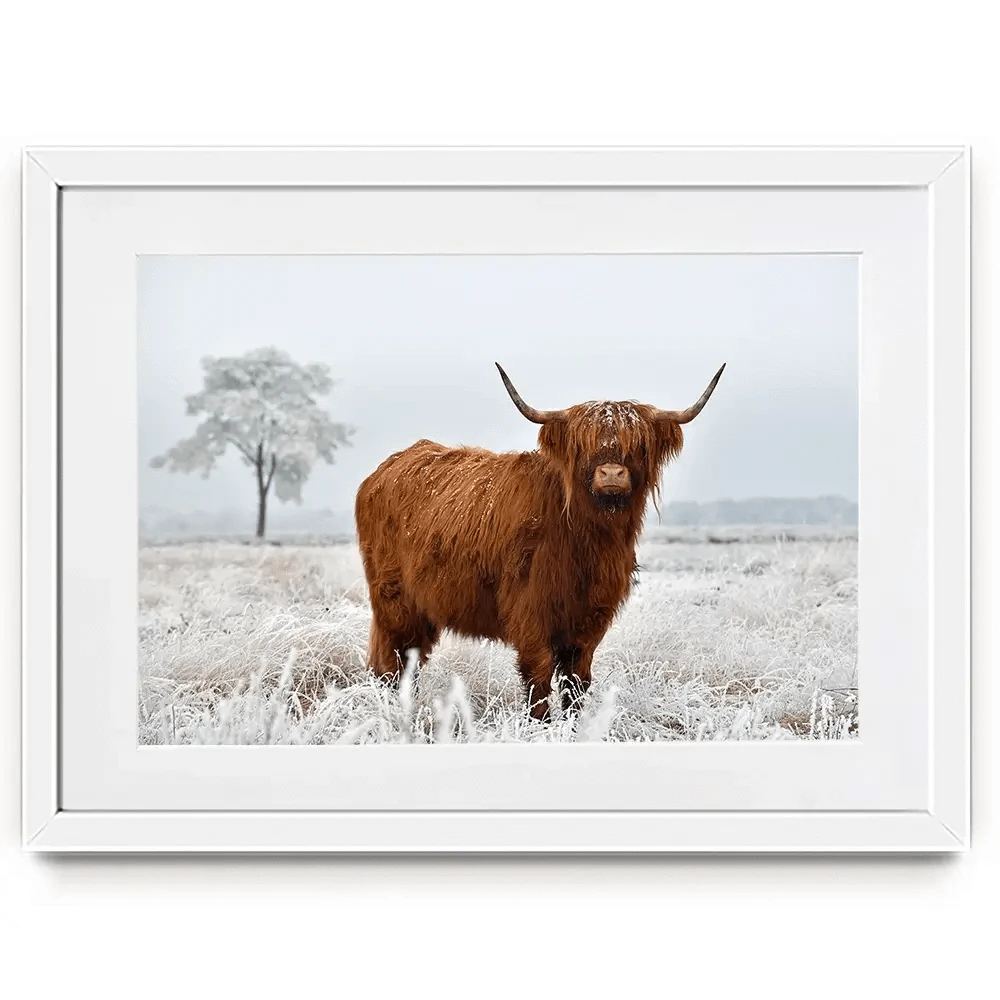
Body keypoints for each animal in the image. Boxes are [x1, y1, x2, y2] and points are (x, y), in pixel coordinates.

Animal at [354, 362, 725, 719]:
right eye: (582, 444)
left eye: (638, 445)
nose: (611, 474)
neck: (587, 541)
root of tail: (386, 469)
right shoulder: (530, 611)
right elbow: (539, 676)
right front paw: (541, 725)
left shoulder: (591, 618)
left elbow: (577, 681)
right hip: (395, 602)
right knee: (394, 661)